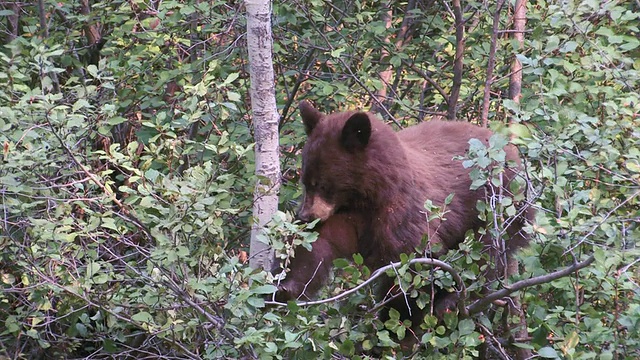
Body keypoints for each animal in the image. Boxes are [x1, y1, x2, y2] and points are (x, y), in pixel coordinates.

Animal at [276, 98, 536, 338]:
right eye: (305, 181)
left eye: (323, 184)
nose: (305, 215)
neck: (368, 196)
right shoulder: (347, 218)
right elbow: (317, 245)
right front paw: (285, 287)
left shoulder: (402, 215)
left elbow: (411, 268)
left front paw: (396, 327)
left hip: (498, 208)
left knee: (486, 254)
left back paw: (453, 300)